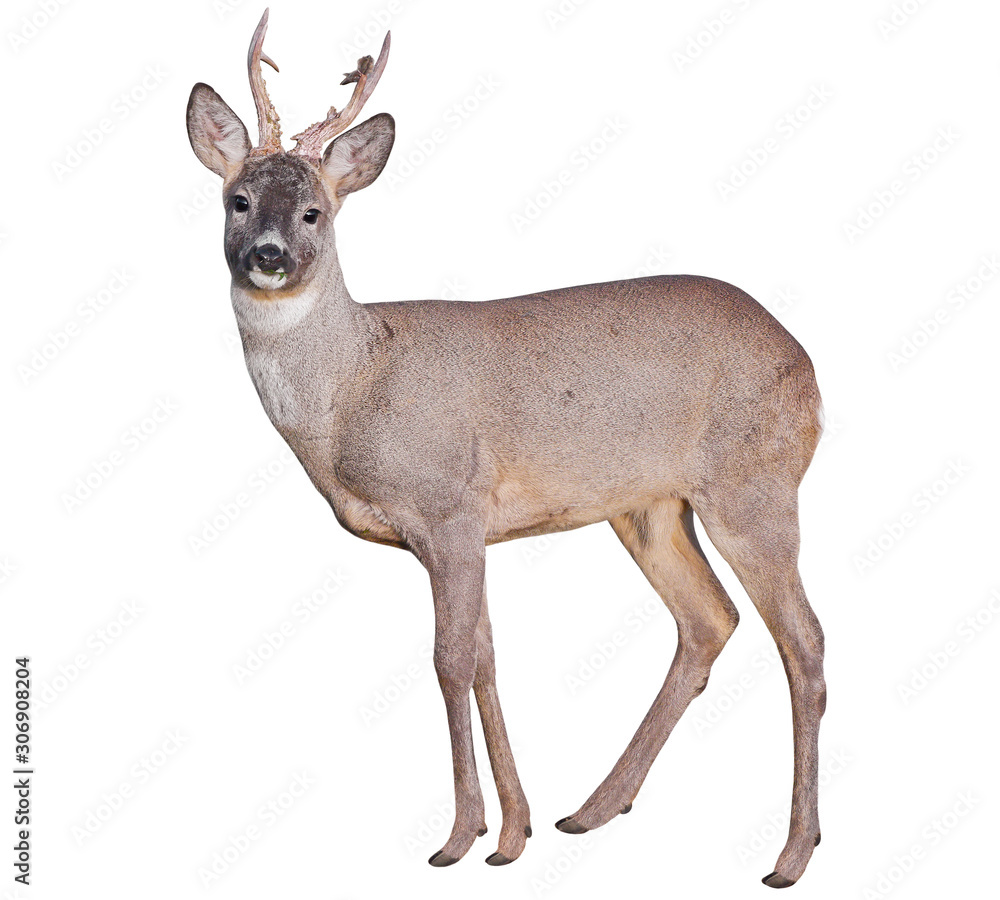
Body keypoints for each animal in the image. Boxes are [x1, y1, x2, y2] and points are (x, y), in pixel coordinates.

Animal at [186, 9, 826, 888]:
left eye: (315, 211)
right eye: (238, 199)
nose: (270, 256)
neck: (357, 385)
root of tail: (809, 368)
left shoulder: (449, 506)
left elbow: (450, 660)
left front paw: (459, 836)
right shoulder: (461, 534)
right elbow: (486, 657)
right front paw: (514, 832)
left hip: (754, 484)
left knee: (802, 640)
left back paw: (791, 854)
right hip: (651, 506)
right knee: (709, 619)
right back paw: (592, 809)